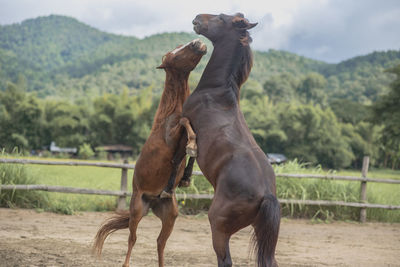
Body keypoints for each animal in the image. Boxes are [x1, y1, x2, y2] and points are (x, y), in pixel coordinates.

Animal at [93, 39, 206, 267]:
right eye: (173, 54)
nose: (197, 42)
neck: (170, 113)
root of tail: (152, 201)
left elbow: (191, 139)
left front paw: (187, 176)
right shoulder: (172, 136)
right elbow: (185, 123)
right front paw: (191, 145)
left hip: (170, 215)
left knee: (160, 242)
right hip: (137, 210)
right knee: (133, 239)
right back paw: (126, 264)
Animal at [164, 13, 280, 267]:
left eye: (221, 18)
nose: (197, 18)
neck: (216, 92)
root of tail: (267, 195)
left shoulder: (186, 122)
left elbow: (179, 156)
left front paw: (168, 189)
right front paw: (186, 178)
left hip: (218, 226)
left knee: (225, 260)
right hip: (261, 234)